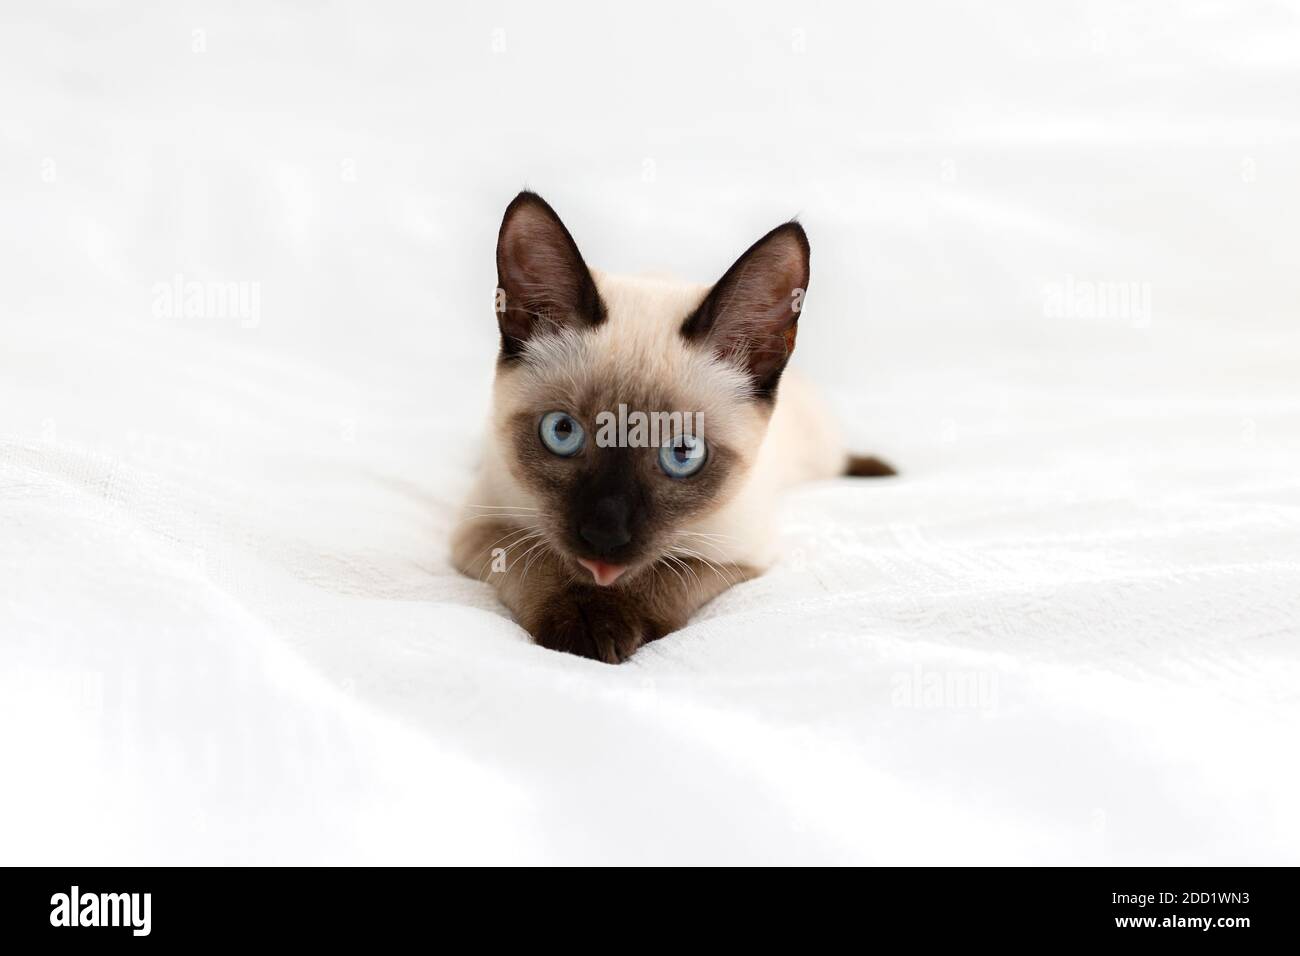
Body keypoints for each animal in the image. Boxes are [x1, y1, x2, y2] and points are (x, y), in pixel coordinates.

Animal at [449, 191, 894, 660]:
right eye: (562, 433)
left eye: (682, 454)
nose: (604, 535)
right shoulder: (483, 527)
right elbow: (539, 559)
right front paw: (580, 627)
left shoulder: (738, 554)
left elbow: (668, 573)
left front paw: (606, 624)